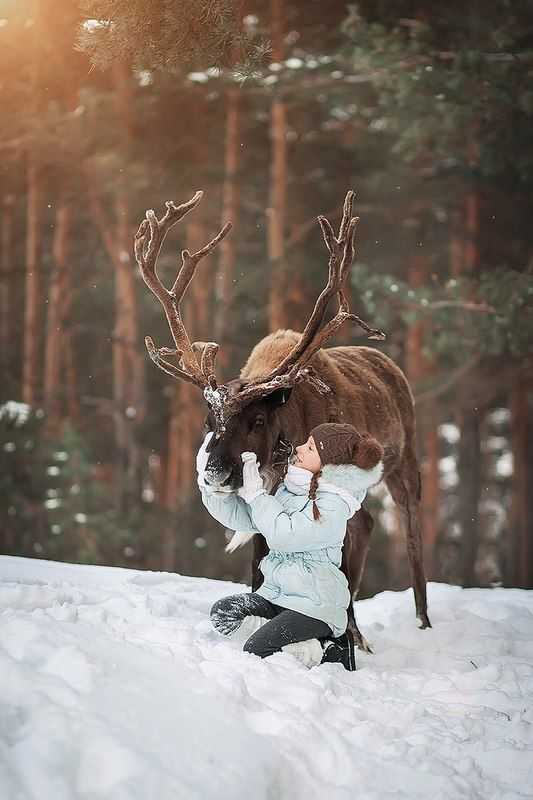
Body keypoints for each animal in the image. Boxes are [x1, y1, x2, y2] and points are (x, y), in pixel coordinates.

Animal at [134, 189, 431, 651]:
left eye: (257, 420)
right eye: (208, 422)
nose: (215, 474)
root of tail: (390, 365)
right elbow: (259, 564)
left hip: (406, 460)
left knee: (411, 527)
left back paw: (418, 623)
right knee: (364, 524)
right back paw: (356, 628)